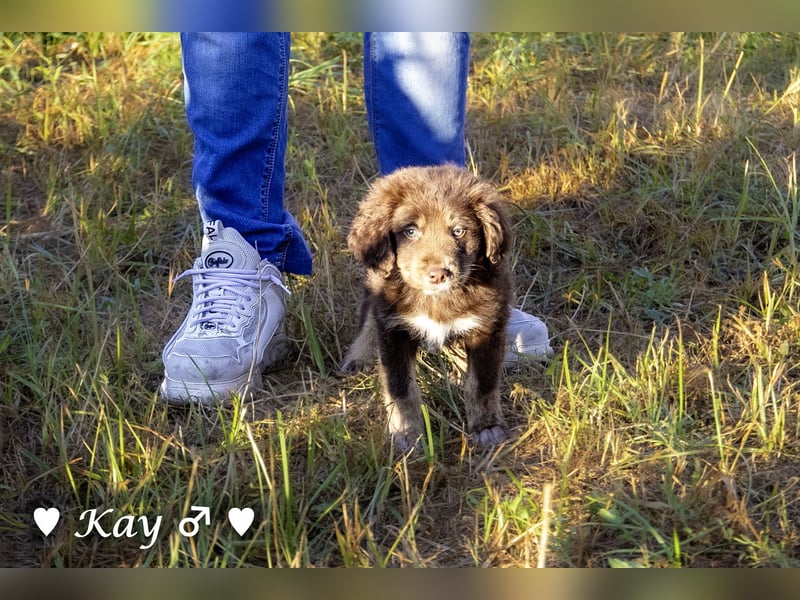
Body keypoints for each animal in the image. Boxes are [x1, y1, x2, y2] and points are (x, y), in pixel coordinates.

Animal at [340, 164, 510, 450]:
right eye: (410, 231)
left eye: (458, 231)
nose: (439, 274)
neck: (435, 299)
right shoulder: (393, 330)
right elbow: (401, 388)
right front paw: (407, 433)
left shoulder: (487, 326)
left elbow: (481, 383)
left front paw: (487, 427)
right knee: (367, 320)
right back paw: (357, 357)